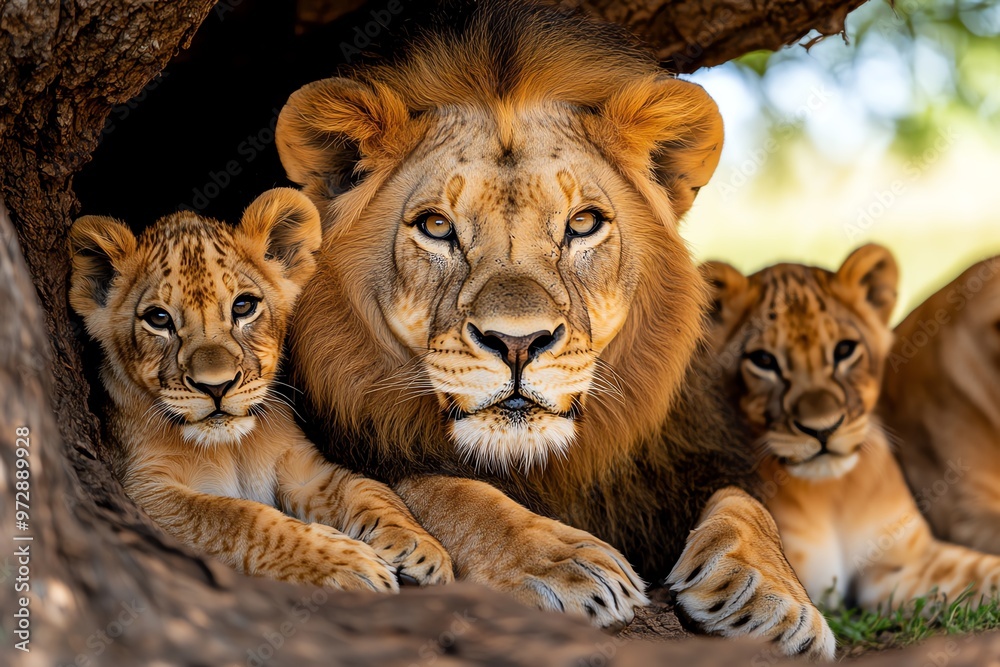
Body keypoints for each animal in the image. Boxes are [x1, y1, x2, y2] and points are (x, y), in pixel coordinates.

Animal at [68, 188, 452, 592]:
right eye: (159, 319)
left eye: (243, 306)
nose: (216, 386)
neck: (231, 447)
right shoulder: (143, 489)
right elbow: (234, 517)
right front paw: (350, 564)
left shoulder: (303, 469)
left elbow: (368, 490)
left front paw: (421, 548)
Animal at [276, 1, 833, 656]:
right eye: (437, 227)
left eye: (583, 223)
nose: (518, 344)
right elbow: (441, 489)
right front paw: (562, 562)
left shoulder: (697, 455)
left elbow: (748, 506)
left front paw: (773, 597)